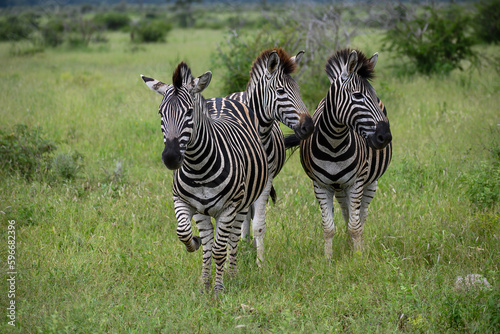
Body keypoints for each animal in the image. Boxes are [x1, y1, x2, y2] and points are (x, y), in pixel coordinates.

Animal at [140, 62, 270, 292]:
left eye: (189, 112)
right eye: (160, 112)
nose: (171, 158)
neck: (198, 167)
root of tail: (223, 99)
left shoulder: (229, 208)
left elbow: (220, 249)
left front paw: (218, 289)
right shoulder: (184, 202)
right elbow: (185, 233)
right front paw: (196, 250)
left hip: (242, 203)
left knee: (233, 238)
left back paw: (232, 275)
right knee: (211, 239)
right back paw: (206, 279)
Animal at [195, 47, 312, 266]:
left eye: (299, 90)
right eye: (281, 92)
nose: (309, 126)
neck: (260, 134)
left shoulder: (266, 179)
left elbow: (259, 223)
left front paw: (260, 262)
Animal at [284, 49, 392, 258]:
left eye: (374, 95)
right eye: (357, 96)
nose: (385, 136)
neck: (334, 144)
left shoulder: (357, 182)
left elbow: (356, 225)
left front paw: (358, 258)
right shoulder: (321, 185)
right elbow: (328, 227)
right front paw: (328, 259)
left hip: (370, 182)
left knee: (361, 216)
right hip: (340, 187)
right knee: (347, 212)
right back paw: (349, 245)